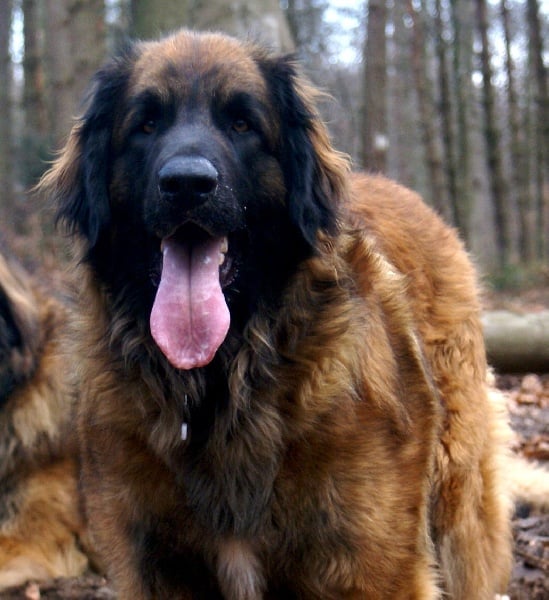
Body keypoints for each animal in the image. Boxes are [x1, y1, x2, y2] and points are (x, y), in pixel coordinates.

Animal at [40, 30, 512, 596]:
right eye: (146, 124)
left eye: (242, 124)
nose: (187, 184)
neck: (223, 385)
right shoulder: (153, 564)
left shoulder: (376, 567)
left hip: (458, 503)